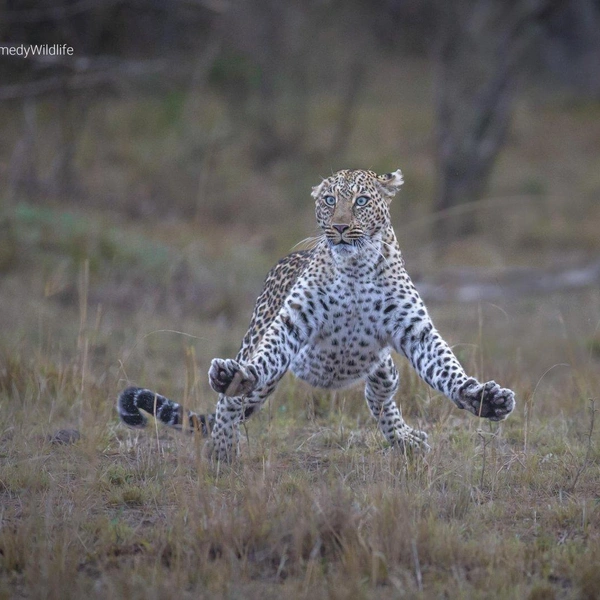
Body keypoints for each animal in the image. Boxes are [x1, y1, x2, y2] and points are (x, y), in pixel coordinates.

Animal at [118, 168, 516, 460]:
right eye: (329, 200)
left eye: (361, 201)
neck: (355, 268)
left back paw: (405, 440)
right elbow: (263, 358)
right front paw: (237, 379)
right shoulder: (291, 322)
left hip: (384, 369)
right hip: (259, 354)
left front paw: (484, 398)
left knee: (379, 398)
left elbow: (447, 368)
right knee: (230, 403)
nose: (339, 227)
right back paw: (222, 448)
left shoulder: (416, 331)